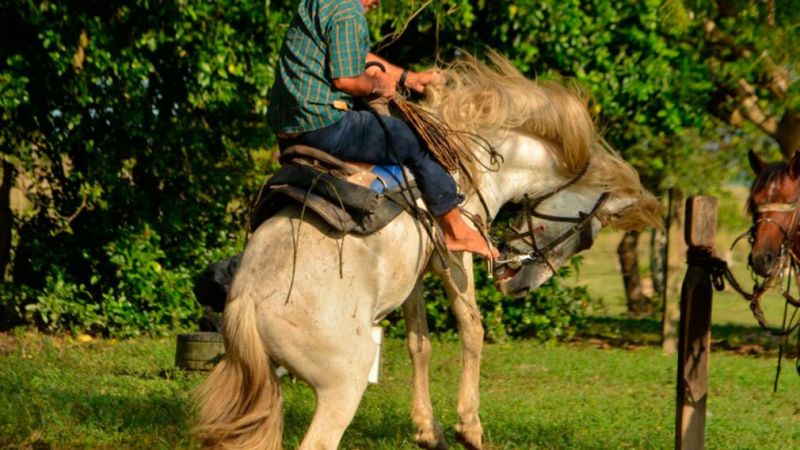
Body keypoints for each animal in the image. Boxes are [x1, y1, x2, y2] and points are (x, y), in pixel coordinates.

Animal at [194, 53, 661, 450]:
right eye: (587, 236)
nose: (520, 284)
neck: (470, 160)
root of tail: (247, 303)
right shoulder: (455, 259)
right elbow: (472, 330)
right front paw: (468, 427)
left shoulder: (415, 276)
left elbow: (420, 343)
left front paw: (428, 430)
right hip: (342, 386)